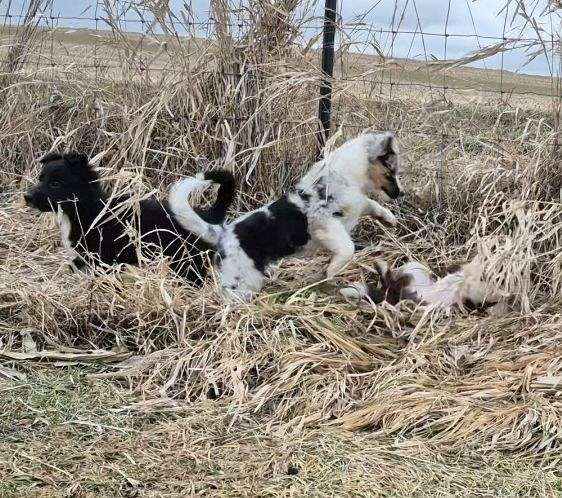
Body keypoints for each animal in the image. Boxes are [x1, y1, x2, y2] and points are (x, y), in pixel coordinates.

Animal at [23, 152, 234, 284]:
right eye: (40, 178)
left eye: (56, 183)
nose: (27, 197)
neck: (89, 210)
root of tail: (208, 216)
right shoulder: (82, 261)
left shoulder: (104, 263)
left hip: (186, 262)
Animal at [168, 130, 400, 300]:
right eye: (391, 173)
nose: (401, 194)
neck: (346, 176)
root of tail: (222, 233)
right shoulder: (326, 224)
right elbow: (347, 248)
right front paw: (332, 271)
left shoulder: (357, 204)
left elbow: (371, 205)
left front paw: (389, 218)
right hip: (243, 282)